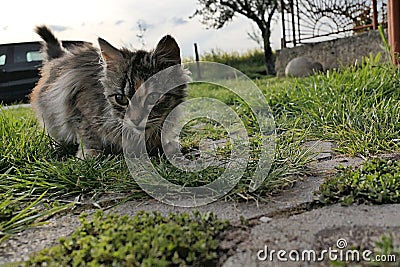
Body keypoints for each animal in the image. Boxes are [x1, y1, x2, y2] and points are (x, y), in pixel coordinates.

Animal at [30, 25, 188, 159]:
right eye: (121, 99)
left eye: (153, 97)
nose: (135, 120)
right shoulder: (78, 108)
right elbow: (87, 136)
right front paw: (89, 154)